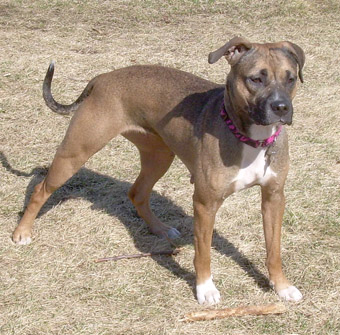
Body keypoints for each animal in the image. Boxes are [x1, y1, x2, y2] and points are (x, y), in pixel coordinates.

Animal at [13, 36, 306, 304]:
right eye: (256, 79)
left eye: (291, 79)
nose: (281, 107)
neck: (250, 138)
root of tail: (103, 77)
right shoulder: (205, 204)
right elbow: (203, 253)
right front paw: (205, 289)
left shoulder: (274, 198)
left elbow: (274, 249)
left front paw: (281, 286)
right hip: (76, 152)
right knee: (41, 189)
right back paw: (22, 232)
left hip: (159, 155)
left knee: (138, 193)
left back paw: (160, 229)